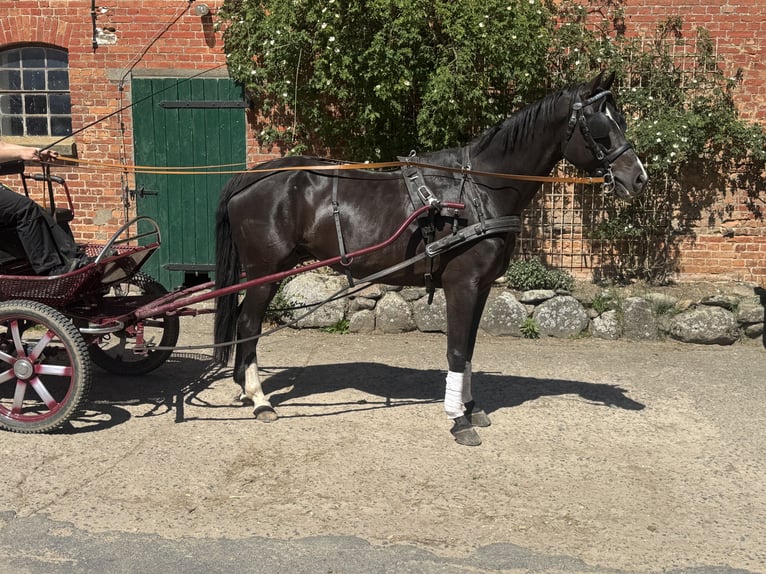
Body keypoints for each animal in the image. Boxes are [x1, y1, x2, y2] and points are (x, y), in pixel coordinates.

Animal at [213, 71, 648, 446]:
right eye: (600, 127)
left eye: (622, 119)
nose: (639, 179)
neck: (479, 189)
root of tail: (249, 177)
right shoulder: (462, 284)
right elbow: (456, 349)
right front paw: (458, 419)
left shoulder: (482, 287)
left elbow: (468, 349)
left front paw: (471, 407)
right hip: (267, 271)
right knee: (249, 323)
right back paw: (259, 399)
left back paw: (245, 390)